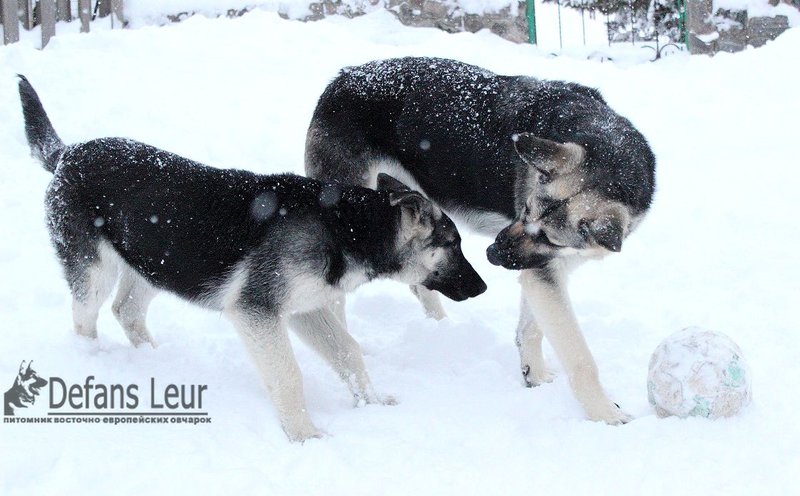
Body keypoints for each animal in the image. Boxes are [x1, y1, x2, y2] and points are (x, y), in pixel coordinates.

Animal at [17, 75, 482, 440]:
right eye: (453, 245)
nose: (483, 286)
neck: (347, 226)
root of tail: (68, 154)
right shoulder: (257, 311)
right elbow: (289, 375)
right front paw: (305, 436)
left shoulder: (303, 310)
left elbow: (348, 351)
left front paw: (371, 402)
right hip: (94, 272)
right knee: (85, 318)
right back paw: (92, 362)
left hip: (156, 262)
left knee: (126, 310)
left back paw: (153, 358)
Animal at [304, 57, 652, 422]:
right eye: (525, 210)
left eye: (549, 237)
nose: (491, 254)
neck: (607, 142)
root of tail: (342, 78)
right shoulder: (543, 272)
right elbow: (579, 356)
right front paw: (605, 414)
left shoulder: (547, 266)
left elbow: (531, 327)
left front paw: (535, 376)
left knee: (419, 283)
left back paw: (442, 330)